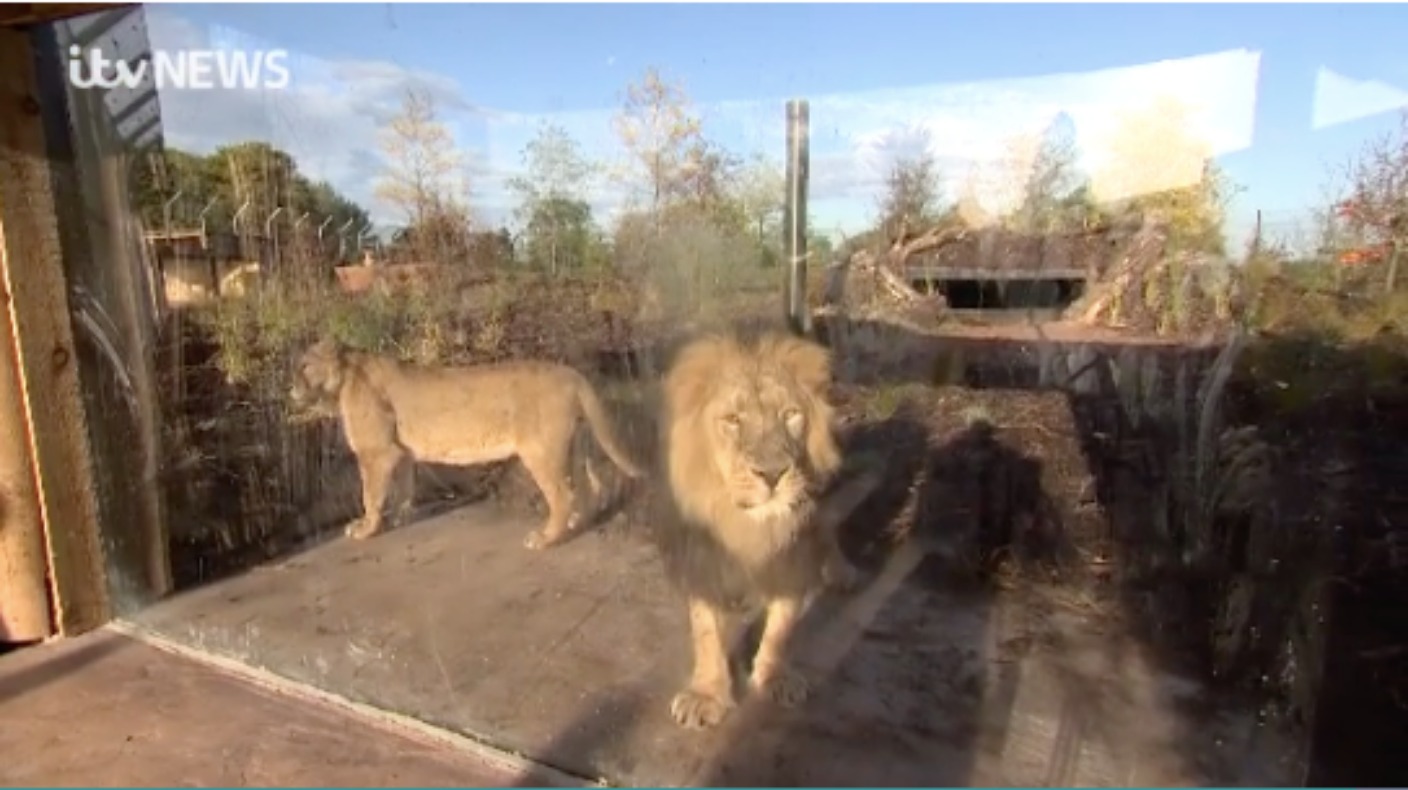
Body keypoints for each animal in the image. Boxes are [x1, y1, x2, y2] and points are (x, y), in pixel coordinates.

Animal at [291, 337, 644, 549]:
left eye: (305, 365)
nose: (289, 388)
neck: (342, 382)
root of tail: (572, 373)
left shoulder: (377, 453)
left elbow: (370, 496)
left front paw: (366, 529)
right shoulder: (400, 453)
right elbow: (403, 489)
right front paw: (401, 518)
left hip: (541, 452)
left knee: (563, 495)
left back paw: (545, 538)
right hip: (574, 445)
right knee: (589, 488)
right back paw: (576, 523)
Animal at [650, 329, 872, 732]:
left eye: (791, 415)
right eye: (733, 420)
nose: (772, 474)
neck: (747, 525)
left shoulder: (793, 554)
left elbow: (781, 624)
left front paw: (774, 678)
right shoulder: (701, 557)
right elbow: (706, 629)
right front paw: (707, 694)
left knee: (827, 528)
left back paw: (842, 573)